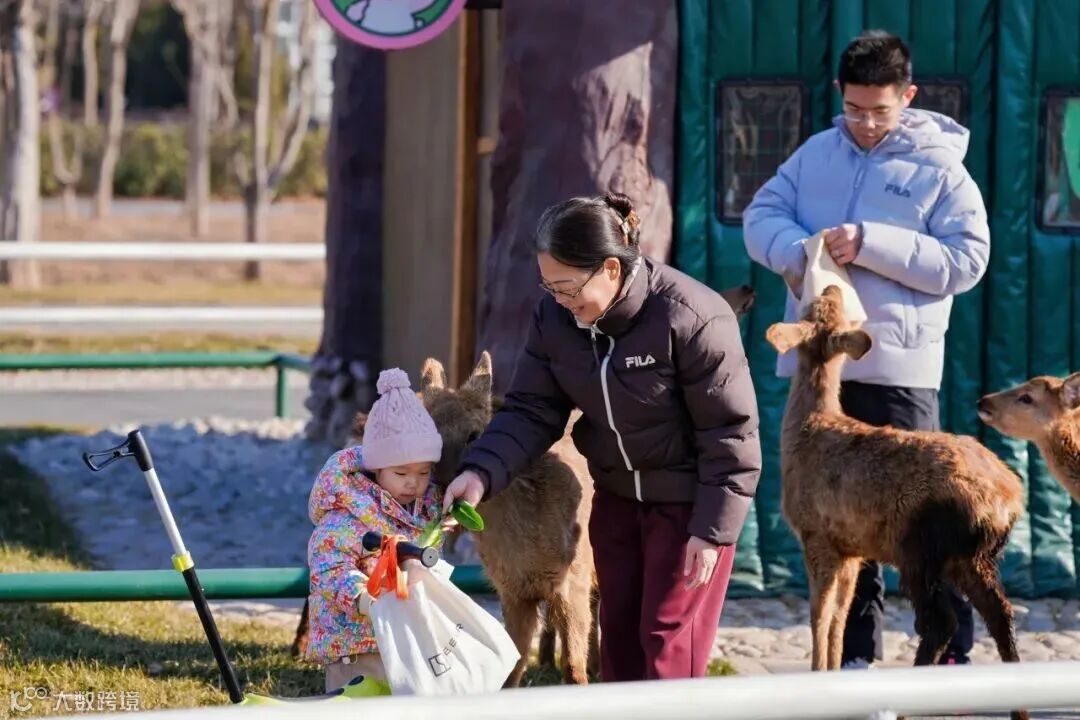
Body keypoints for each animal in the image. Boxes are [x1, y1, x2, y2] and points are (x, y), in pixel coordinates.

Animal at [766, 286, 1028, 720]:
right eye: (828, 305)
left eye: (815, 305)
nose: (831, 287)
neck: (805, 431)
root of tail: (1008, 500)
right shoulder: (851, 547)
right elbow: (840, 615)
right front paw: (830, 675)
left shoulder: (816, 534)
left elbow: (819, 612)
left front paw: (817, 675)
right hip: (970, 557)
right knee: (999, 612)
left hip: (921, 545)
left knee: (941, 622)